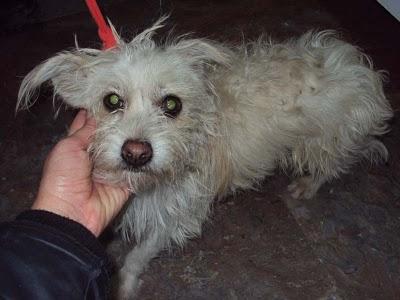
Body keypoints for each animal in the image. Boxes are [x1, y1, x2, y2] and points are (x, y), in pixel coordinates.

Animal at [17, 18, 392, 298]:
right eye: (112, 101)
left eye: (172, 104)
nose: (136, 154)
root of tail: (357, 64)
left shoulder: (176, 218)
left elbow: (139, 254)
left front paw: (125, 284)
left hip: (323, 141)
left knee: (333, 165)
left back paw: (308, 185)